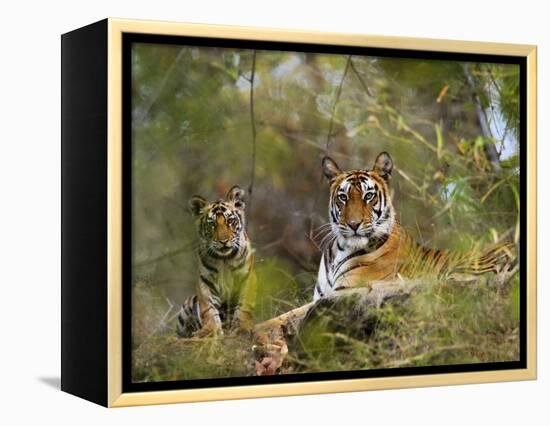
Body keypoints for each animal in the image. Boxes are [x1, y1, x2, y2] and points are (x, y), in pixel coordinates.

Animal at [179, 185, 258, 338]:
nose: (223, 241)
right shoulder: (205, 282)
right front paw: (210, 330)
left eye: (230, 221)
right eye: (212, 224)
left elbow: (244, 307)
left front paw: (242, 328)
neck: (224, 259)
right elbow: (208, 309)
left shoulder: (247, 277)